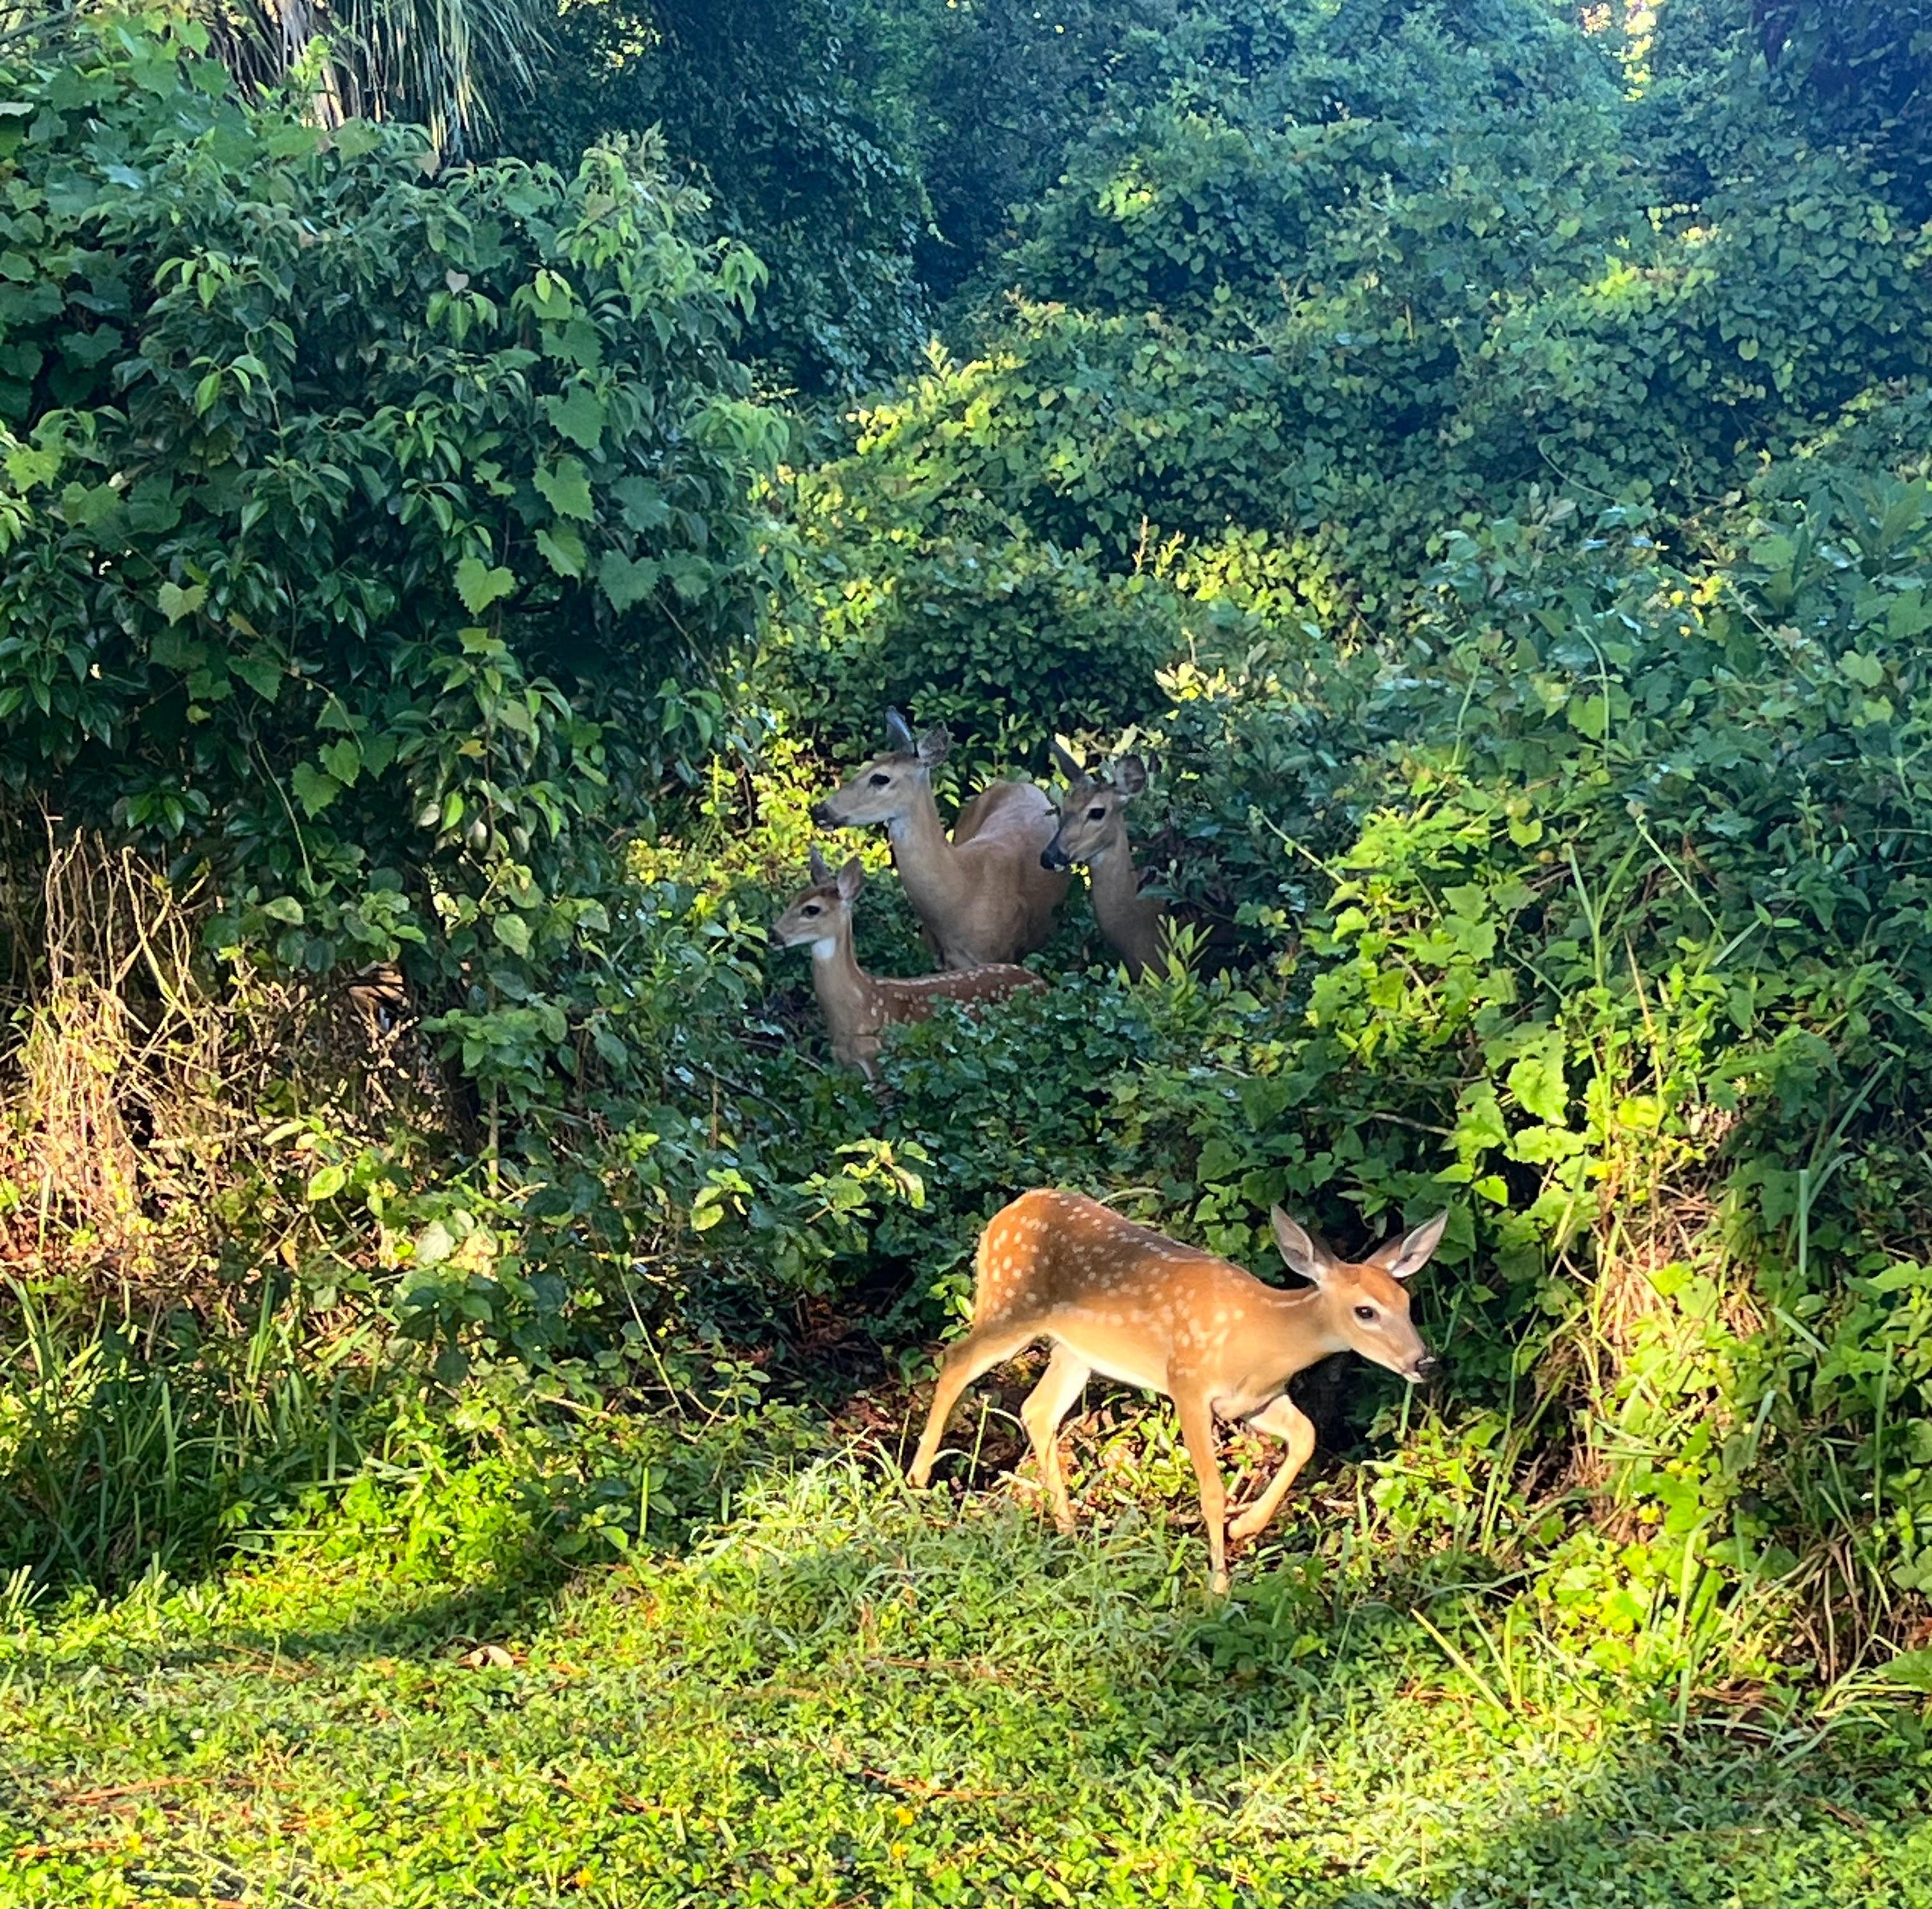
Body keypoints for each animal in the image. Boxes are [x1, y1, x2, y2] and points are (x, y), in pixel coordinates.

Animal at [773, 848, 1045, 1082]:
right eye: (794, 899)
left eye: (812, 910)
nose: (774, 934)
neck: (858, 1007)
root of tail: (1044, 985)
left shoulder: (879, 1063)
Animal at [908, 1189, 1446, 1594]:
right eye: (1365, 1311)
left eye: (1407, 1302)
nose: (1423, 1362)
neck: (1263, 1336)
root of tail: (1003, 1215)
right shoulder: (1188, 1382)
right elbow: (1211, 1489)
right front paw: (1219, 1585)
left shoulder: (1259, 1401)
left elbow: (1307, 1436)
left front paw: (1246, 1527)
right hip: (1011, 1305)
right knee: (956, 1359)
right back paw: (917, 1481)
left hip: (1076, 1349)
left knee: (1038, 1409)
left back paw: (1068, 1529)